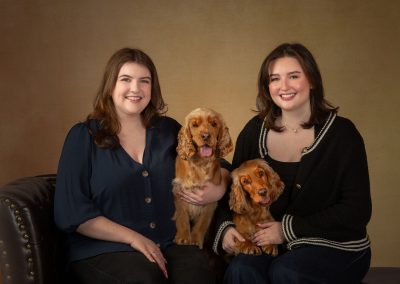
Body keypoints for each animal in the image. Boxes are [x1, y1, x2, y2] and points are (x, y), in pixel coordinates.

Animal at [173, 107, 234, 247]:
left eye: (214, 124)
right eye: (194, 125)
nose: (206, 136)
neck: (201, 163)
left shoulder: (210, 202)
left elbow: (202, 223)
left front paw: (195, 239)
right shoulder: (179, 192)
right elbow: (182, 217)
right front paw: (183, 238)